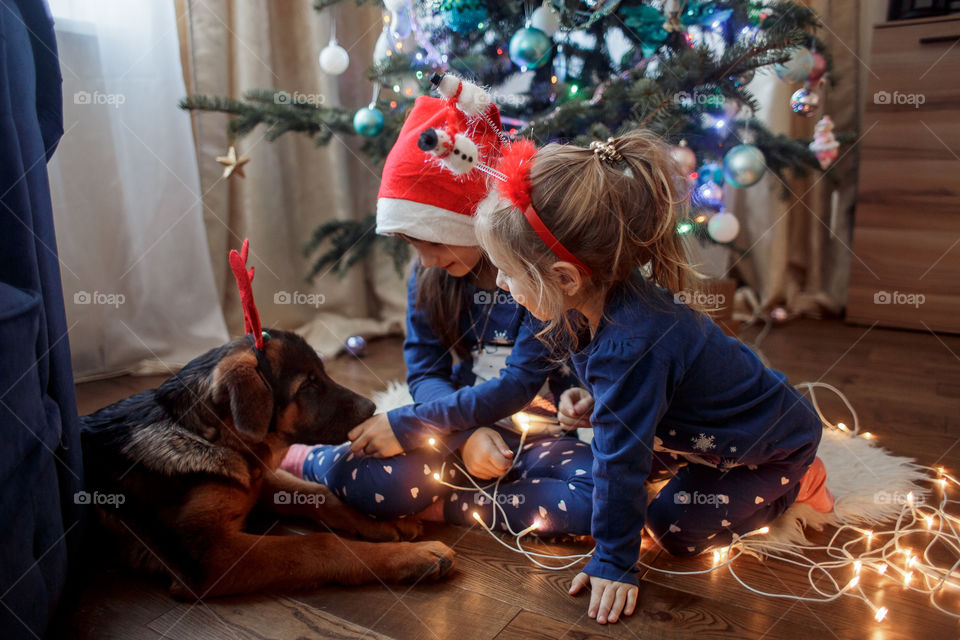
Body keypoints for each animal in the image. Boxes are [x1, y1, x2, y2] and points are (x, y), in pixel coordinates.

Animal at [80, 330, 456, 596]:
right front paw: (413, 556)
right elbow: (318, 544)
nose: (373, 408)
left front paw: (379, 520)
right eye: (308, 384)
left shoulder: (258, 480)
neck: (208, 433)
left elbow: (319, 492)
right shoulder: (209, 553)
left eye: (322, 373)